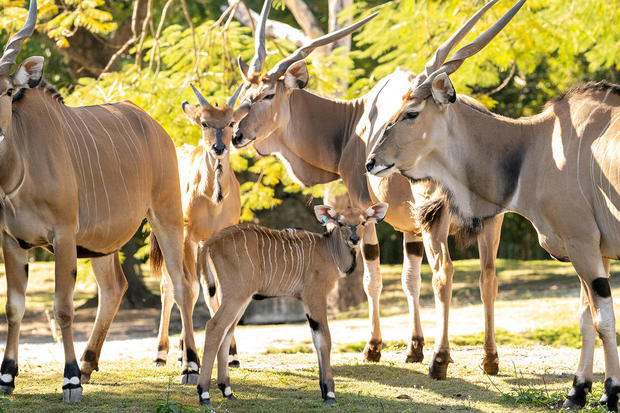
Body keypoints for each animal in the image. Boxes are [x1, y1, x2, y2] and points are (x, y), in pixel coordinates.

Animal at [196, 201, 388, 404]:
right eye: (341, 222)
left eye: (363, 222)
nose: (354, 239)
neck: (329, 251)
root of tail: (210, 242)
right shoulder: (315, 296)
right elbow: (325, 340)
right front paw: (329, 392)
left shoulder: (307, 302)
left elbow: (316, 339)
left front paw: (324, 389)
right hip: (236, 295)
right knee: (215, 326)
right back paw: (204, 393)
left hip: (238, 297)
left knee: (227, 330)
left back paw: (227, 390)